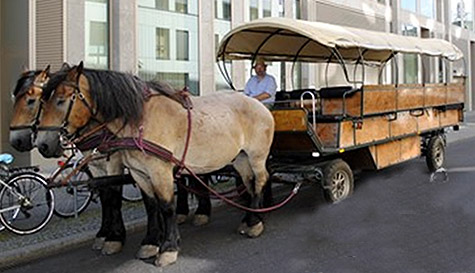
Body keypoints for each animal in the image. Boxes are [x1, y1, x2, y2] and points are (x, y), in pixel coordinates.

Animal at [7, 65, 162, 258]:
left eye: (31, 101)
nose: (16, 141)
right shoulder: (96, 165)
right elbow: (105, 197)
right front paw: (104, 234)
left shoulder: (114, 162)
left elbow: (115, 197)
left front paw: (115, 237)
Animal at [36, 62, 276, 266]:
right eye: (43, 101)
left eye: (61, 99)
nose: (43, 144)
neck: (141, 120)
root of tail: (259, 105)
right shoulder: (139, 173)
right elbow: (151, 205)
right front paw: (150, 243)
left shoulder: (159, 171)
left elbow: (167, 207)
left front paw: (168, 248)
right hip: (240, 159)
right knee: (249, 183)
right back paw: (249, 218)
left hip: (256, 156)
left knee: (261, 180)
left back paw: (255, 223)